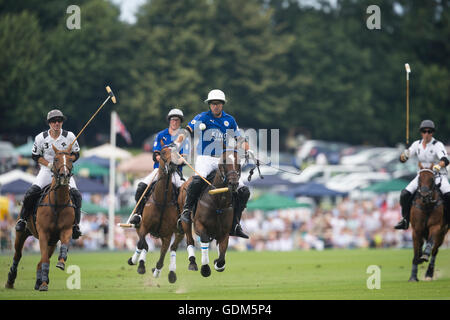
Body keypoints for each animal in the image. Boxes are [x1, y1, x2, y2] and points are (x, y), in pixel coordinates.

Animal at [5, 146, 75, 292]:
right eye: (56, 159)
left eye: (71, 159)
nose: (64, 176)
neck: (57, 203)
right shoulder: (43, 233)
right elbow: (44, 259)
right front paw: (43, 285)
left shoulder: (66, 230)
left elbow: (62, 247)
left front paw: (60, 262)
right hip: (22, 233)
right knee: (18, 255)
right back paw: (10, 280)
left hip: (52, 242)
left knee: (41, 261)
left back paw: (39, 281)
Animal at [126, 145, 185, 282]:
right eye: (163, 153)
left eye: (176, 153)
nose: (172, 164)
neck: (162, 200)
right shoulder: (143, 227)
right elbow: (142, 243)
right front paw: (138, 263)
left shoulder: (167, 235)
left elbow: (162, 256)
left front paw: (157, 271)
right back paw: (136, 261)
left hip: (179, 232)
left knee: (173, 248)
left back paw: (171, 273)